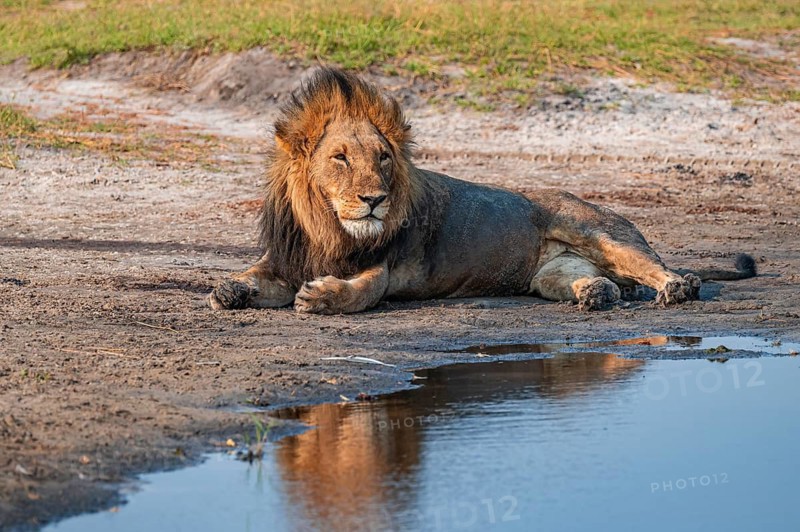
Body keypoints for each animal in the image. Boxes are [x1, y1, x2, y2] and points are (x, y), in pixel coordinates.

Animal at [209, 68, 756, 314]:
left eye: (383, 158)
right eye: (340, 158)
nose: (374, 200)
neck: (328, 228)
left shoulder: (382, 269)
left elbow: (362, 291)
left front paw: (320, 296)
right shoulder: (285, 259)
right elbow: (253, 276)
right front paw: (228, 288)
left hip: (601, 233)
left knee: (659, 269)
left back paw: (676, 287)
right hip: (550, 275)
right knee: (596, 283)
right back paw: (596, 292)